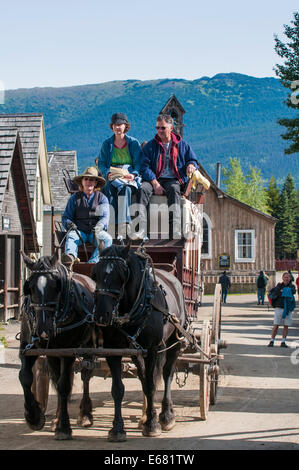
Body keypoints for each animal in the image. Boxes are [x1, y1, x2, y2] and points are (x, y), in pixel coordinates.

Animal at [19, 252, 96, 438]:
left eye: (55, 286)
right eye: (30, 287)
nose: (42, 329)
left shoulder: (67, 351)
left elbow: (64, 385)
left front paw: (64, 427)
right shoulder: (28, 347)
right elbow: (25, 377)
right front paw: (34, 416)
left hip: (88, 345)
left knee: (85, 375)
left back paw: (85, 415)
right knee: (56, 377)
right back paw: (56, 418)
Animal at [91, 242, 190, 440]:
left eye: (122, 274)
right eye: (95, 273)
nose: (101, 315)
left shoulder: (152, 349)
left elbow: (151, 385)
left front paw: (152, 425)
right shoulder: (113, 351)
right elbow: (118, 389)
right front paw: (117, 428)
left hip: (173, 343)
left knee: (167, 374)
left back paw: (166, 415)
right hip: (136, 352)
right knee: (144, 377)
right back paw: (146, 416)